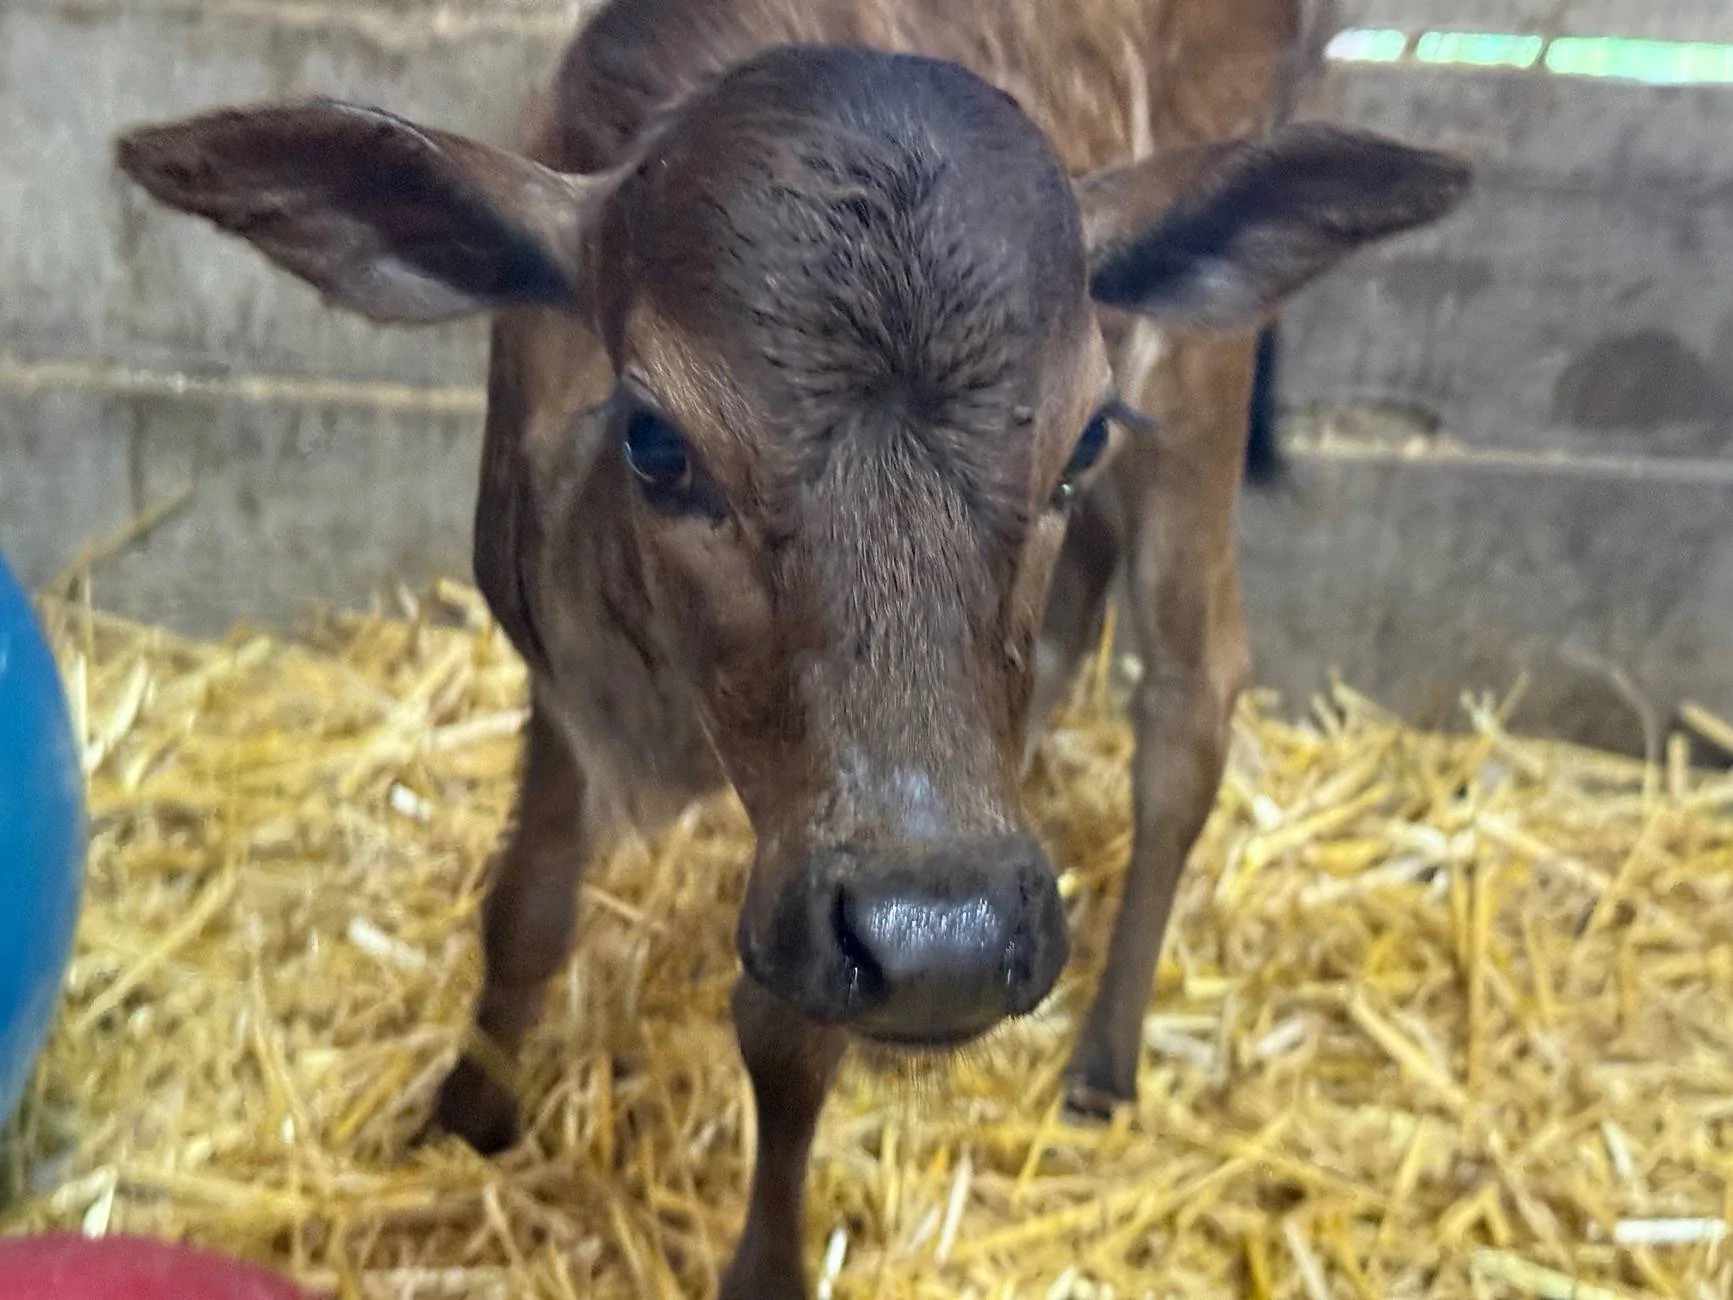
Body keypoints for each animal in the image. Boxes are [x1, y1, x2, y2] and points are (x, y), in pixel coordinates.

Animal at [115, 0, 1468, 1292]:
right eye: (654, 440)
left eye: (1080, 439)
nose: (947, 944)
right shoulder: (557, 670)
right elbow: (525, 904)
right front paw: (466, 1114)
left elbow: (781, 1031)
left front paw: (762, 1265)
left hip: (1199, 378)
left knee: (1191, 701)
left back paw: (1102, 1058)